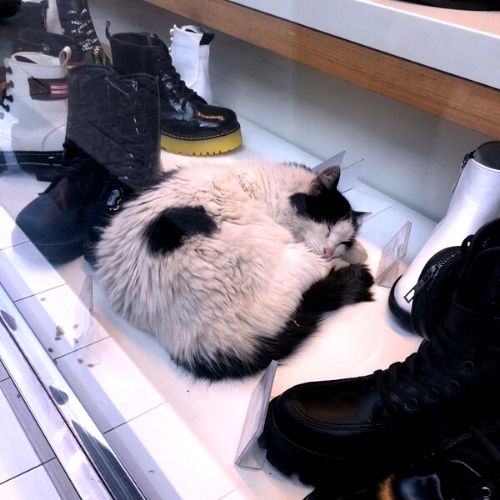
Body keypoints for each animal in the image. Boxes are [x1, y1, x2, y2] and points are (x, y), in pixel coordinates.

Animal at [94, 159, 376, 378]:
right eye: (326, 226)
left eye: (341, 241)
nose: (330, 251)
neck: (271, 188)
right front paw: (355, 258)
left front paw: (358, 250)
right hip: (294, 260)